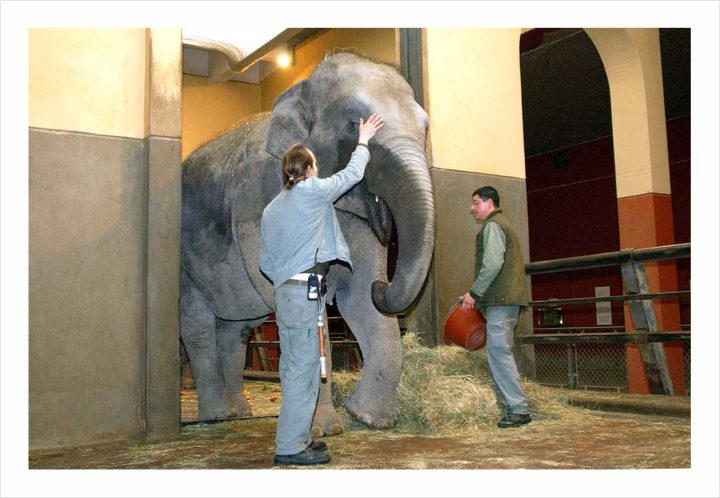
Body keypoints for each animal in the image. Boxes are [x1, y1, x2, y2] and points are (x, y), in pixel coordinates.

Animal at [180, 50, 436, 432]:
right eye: (353, 124)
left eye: (425, 128)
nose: (383, 284)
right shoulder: (259, 201)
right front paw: (325, 429)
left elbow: (359, 296)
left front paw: (369, 418)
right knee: (197, 325)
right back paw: (216, 416)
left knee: (236, 328)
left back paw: (240, 412)